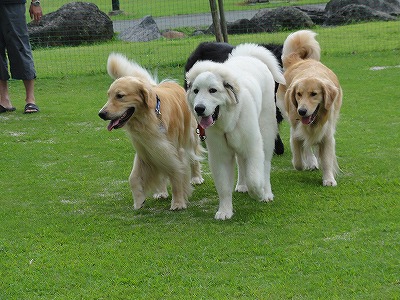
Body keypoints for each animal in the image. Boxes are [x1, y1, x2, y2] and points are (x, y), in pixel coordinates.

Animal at [97, 52, 203, 210]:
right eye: (108, 95)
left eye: (120, 96)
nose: (101, 114)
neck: (148, 118)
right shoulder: (146, 150)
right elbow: (133, 178)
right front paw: (138, 200)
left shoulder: (174, 151)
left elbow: (177, 175)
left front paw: (178, 203)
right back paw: (161, 192)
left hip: (189, 136)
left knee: (194, 156)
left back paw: (196, 177)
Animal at [186, 43, 286, 219]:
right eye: (196, 91)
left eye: (213, 90)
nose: (199, 108)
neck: (227, 121)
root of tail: (249, 56)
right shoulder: (220, 156)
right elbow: (223, 186)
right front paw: (225, 211)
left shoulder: (253, 147)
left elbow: (254, 178)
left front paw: (259, 193)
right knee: (241, 162)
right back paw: (242, 185)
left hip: (266, 133)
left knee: (265, 165)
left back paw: (266, 193)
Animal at [276, 29, 342, 185]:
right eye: (299, 94)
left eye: (314, 94)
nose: (301, 111)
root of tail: (299, 60)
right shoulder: (296, 131)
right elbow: (298, 159)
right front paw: (303, 164)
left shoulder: (327, 134)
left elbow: (327, 159)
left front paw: (329, 179)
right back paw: (311, 162)